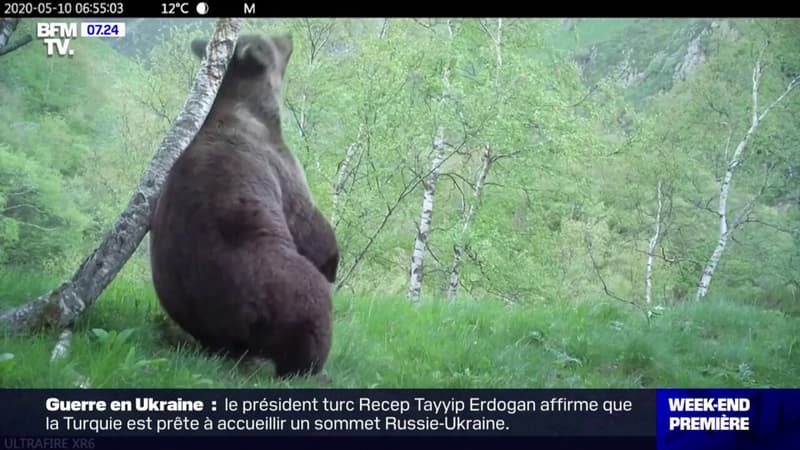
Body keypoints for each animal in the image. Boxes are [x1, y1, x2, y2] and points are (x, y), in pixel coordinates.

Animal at [148, 32, 338, 376]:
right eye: (274, 42)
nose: (289, 35)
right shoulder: (279, 164)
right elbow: (307, 220)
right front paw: (331, 260)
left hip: (190, 298)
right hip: (281, 289)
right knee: (312, 314)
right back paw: (312, 368)